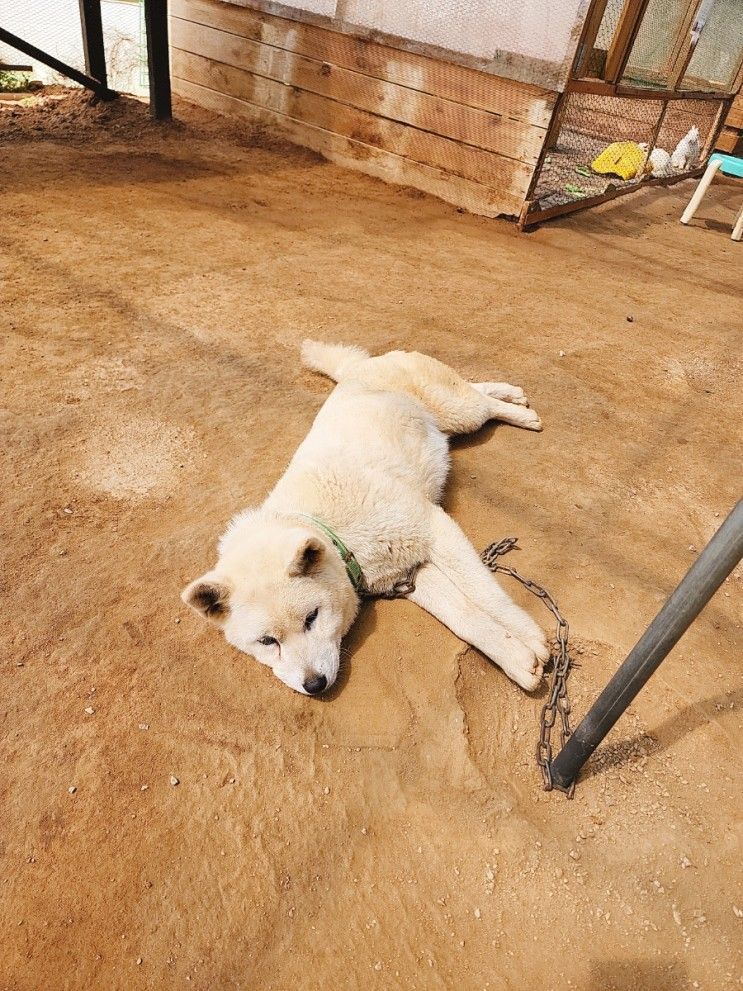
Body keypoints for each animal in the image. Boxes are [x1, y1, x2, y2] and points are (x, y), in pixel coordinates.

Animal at [183, 344, 548, 692]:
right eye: (267, 641)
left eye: (311, 618)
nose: (314, 685)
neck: (337, 536)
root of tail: (359, 368)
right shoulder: (407, 574)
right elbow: (465, 618)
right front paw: (518, 660)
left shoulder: (435, 527)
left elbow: (486, 594)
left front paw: (531, 636)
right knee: (475, 389)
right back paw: (514, 394)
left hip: (459, 414)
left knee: (481, 403)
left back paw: (521, 413)